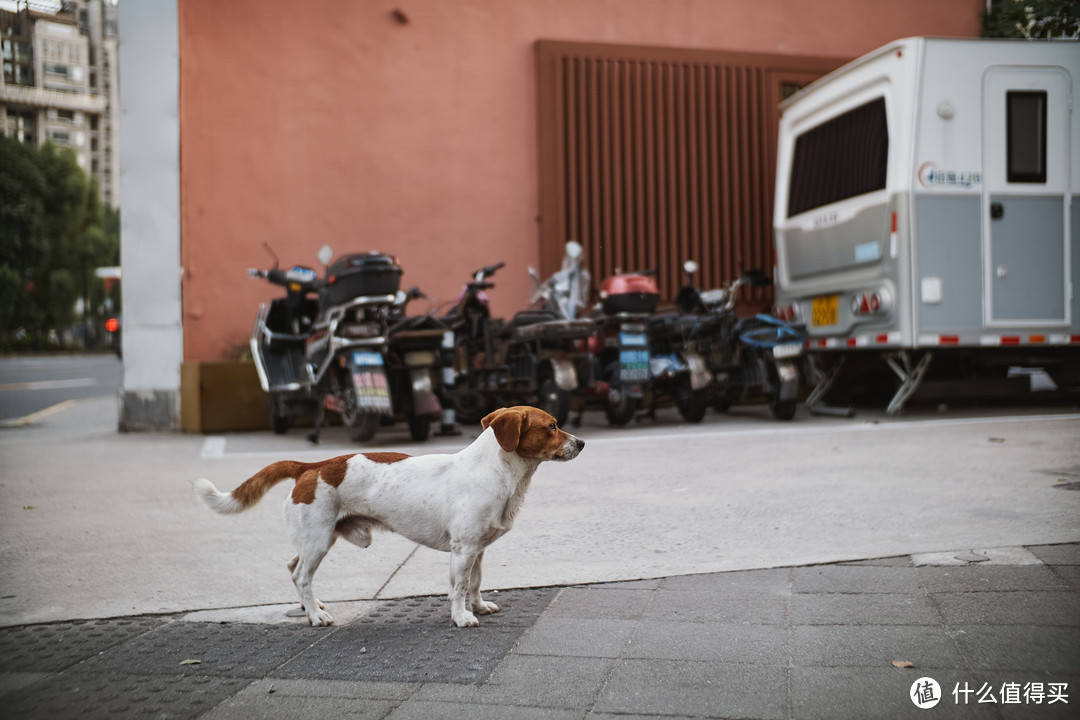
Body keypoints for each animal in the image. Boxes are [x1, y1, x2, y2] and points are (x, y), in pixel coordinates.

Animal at [194, 408, 583, 626]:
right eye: (552, 426)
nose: (581, 443)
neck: (497, 471)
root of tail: (312, 465)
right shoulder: (463, 550)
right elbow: (458, 587)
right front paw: (461, 617)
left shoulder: (478, 550)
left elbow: (474, 582)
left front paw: (478, 606)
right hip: (318, 541)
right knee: (302, 575)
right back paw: (316, 615)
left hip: (317, 538)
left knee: (292, 567)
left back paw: (310, 606)